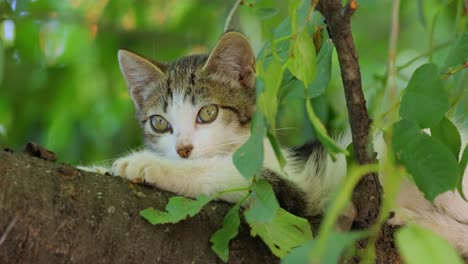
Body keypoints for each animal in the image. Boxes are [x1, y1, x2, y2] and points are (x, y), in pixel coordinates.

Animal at [94, 31, 468, 256]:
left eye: (208, 113)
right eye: (160, 123)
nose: (183, 149)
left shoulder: (289, 188)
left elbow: (216, 172)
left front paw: (144, 163)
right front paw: (99, 168)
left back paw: (421, 221)